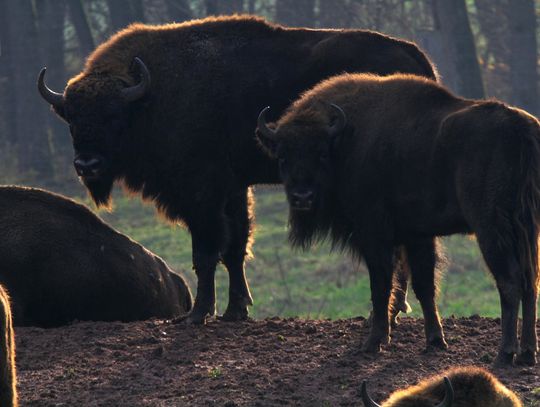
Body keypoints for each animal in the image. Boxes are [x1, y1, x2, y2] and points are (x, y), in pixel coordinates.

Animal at [38, 14, 436, 326]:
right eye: (72, 120)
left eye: (113, 117)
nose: (87, 164)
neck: (152, 96)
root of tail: (415, 57)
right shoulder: (233, 189)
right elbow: (235, 249)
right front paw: (235, 311)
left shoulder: (203, 194)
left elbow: (207, 252)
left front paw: (198, 314)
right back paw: (396, 308)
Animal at [256, 73, 540, 366]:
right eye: (283, 157)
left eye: (322, 153)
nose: (302, 197)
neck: (346, 140)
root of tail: (519, 128)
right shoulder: (417, 235)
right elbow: (425, 286)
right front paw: (435, 340)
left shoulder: (375, 234)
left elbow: (381, 285)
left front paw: (374, 342)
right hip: (527, 228)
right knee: (530, 282)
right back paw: (527, 354)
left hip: (491, 229)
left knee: (510, 281)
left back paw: (505, 353)